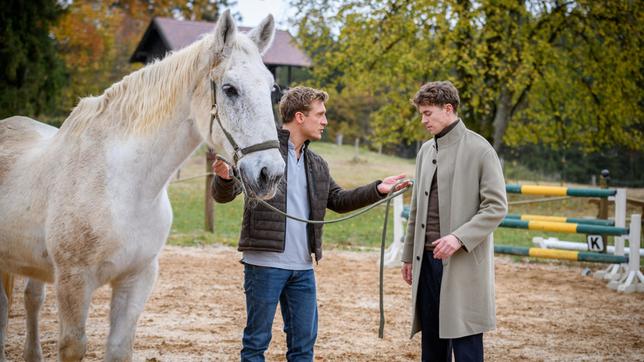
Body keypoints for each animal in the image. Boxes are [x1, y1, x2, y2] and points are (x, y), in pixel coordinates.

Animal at [0, 9, 284, 360]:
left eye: (271, 89)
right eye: (230, 89)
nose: (271, 173)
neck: (124, 186)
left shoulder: (137, 279)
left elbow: (119, 347)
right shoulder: (73, 281)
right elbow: (72, 345)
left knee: (31, 299)